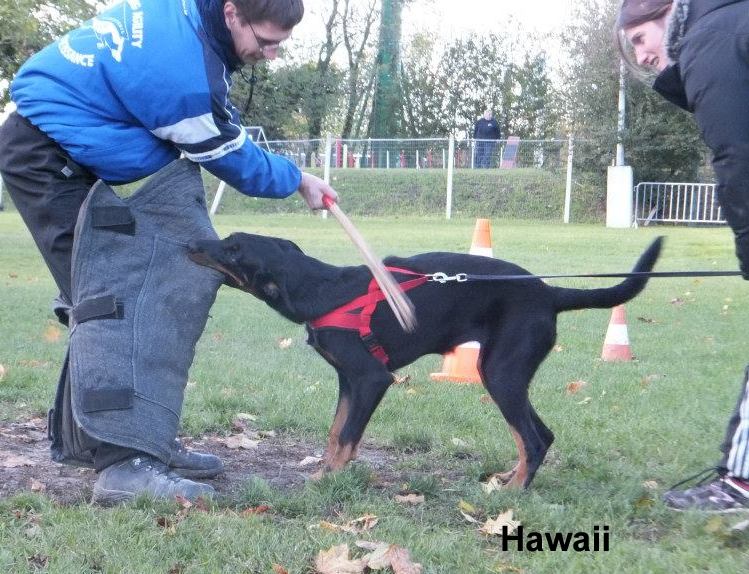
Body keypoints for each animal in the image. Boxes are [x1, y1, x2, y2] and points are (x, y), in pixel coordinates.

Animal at [188, 234, 660, 490]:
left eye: (232, 249)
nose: (190, 243)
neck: (320, 288)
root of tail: (550, 293)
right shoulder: (348, 381)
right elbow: (336, 432)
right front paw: (324, 472)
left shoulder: (371, 379)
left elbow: (348, 437)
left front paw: (330, 480)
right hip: (508, 376)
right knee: (539, 435)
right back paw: (511, 479)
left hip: (501, 375)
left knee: (534, 438)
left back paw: (513, 495)